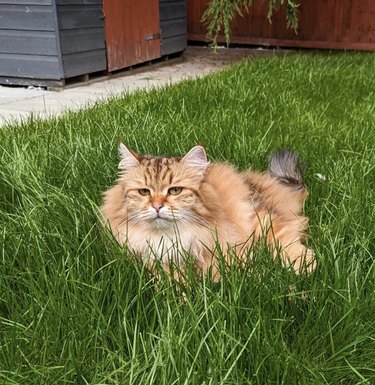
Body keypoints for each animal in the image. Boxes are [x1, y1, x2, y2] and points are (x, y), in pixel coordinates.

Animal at [101, 144, 316, 280]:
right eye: (144, 192)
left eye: (175, 190)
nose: (157, 206)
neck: (170, 238)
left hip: (258, 217)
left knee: (286, 238)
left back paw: (304, 267)